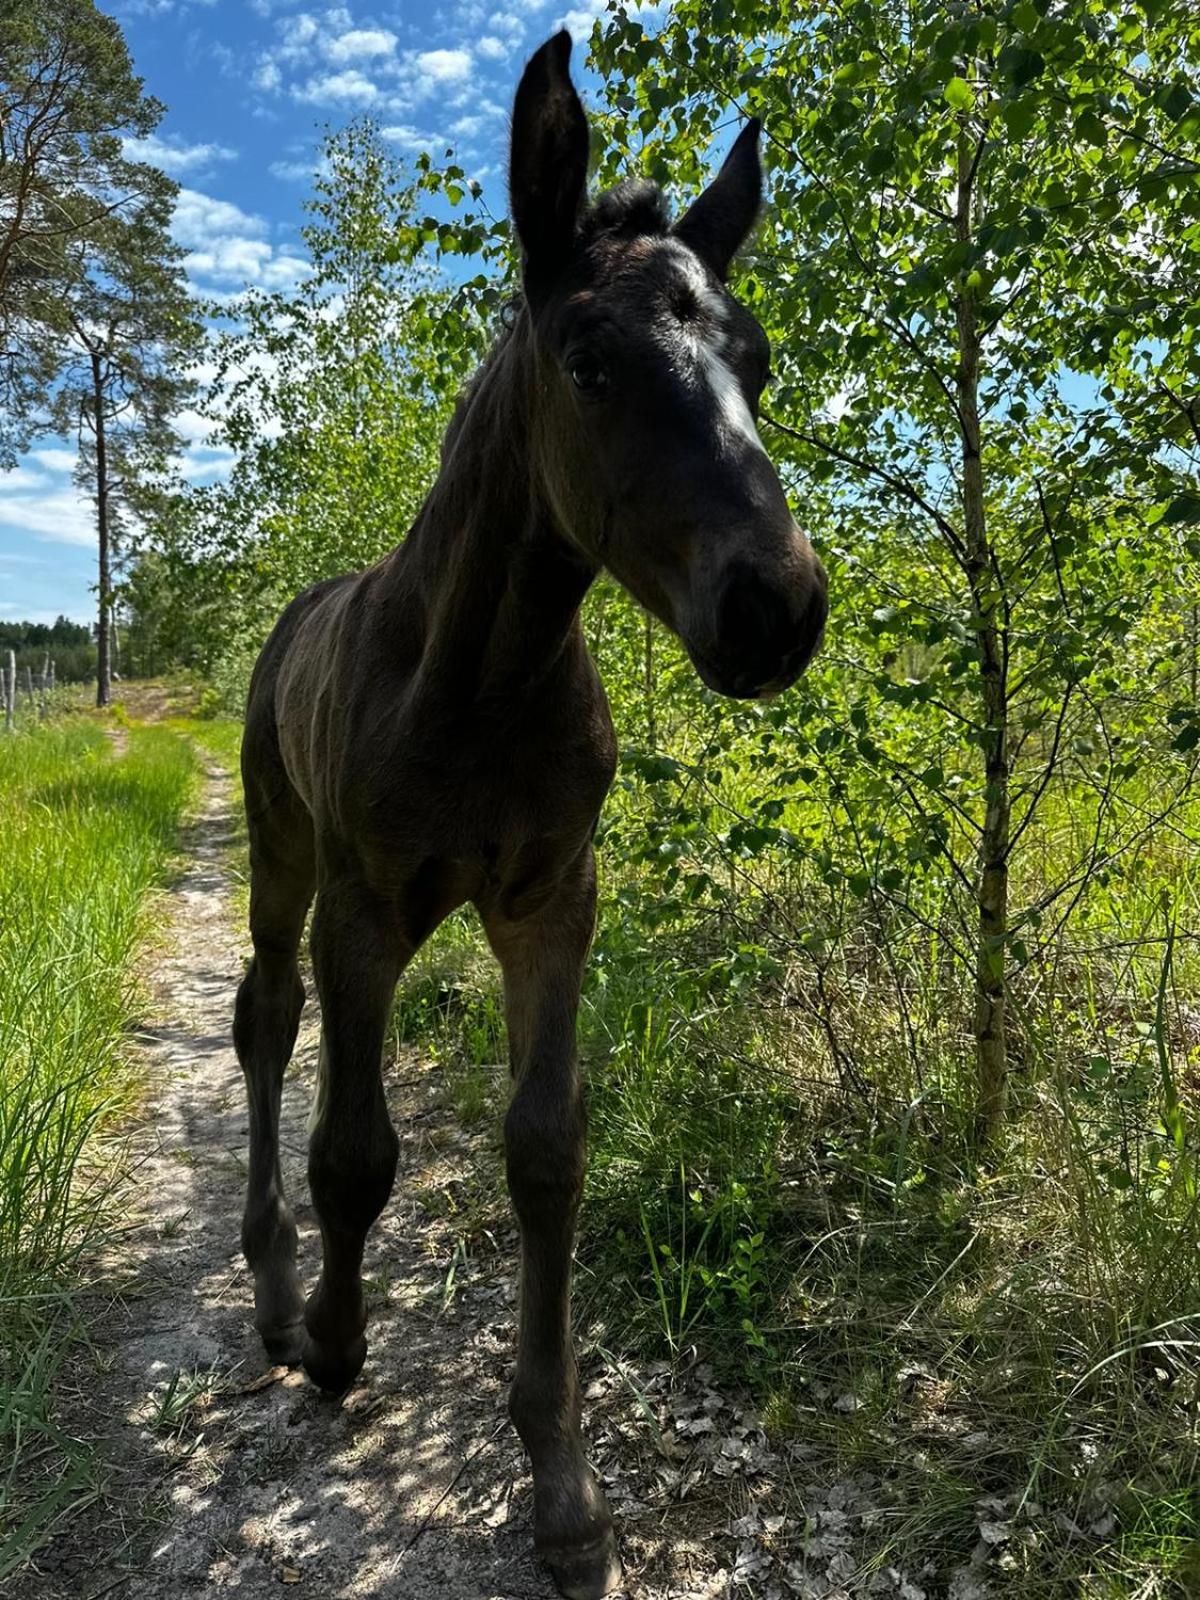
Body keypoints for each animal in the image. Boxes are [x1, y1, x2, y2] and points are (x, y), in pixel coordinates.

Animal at [233, 31, 827, 1599]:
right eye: (588, 356)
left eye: (755, 360)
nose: (777, 606)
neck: (482, 684)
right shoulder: (366, 909)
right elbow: (356, 1149)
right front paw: (339, 1343)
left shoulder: (553, 900)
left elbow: (547, 1150)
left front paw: (563, 1486)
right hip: (279, 854)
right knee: (263, 1025)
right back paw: (272, 1287)